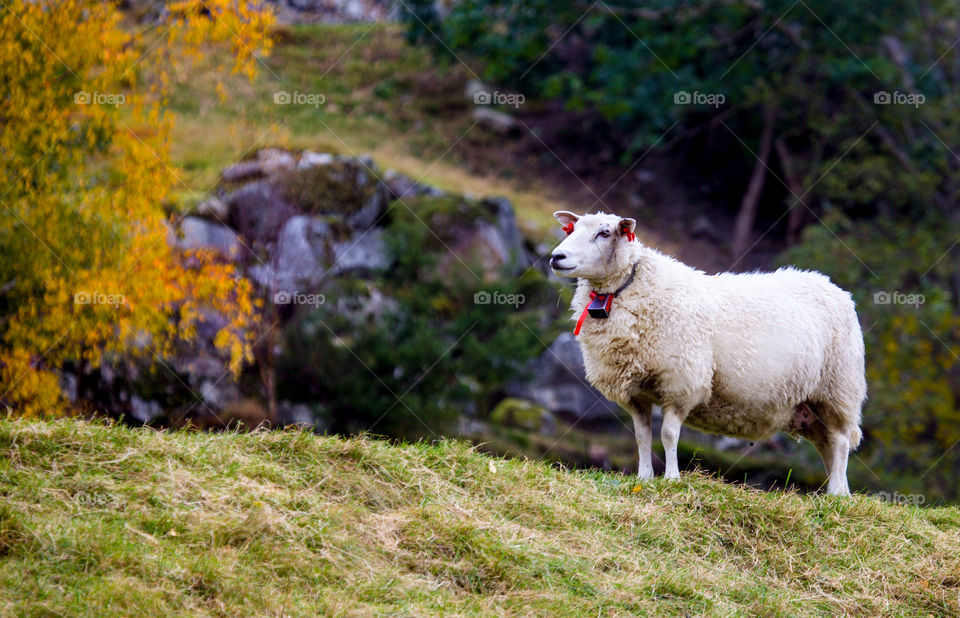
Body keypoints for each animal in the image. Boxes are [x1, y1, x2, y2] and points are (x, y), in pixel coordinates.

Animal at [552, 209, 868, 494]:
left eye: (604, 233)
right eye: (572, 229)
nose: (556, 257)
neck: (632, 288)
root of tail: (836, 289)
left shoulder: (681, 382)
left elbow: (668, 434)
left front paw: (672, 478)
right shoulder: (636, 392)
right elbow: (642, 437)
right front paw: (643, 477)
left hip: (837, 389)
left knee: (840, 443)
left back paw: (835, 494)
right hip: (811, 405)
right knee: (828, 447)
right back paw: (838, 492)